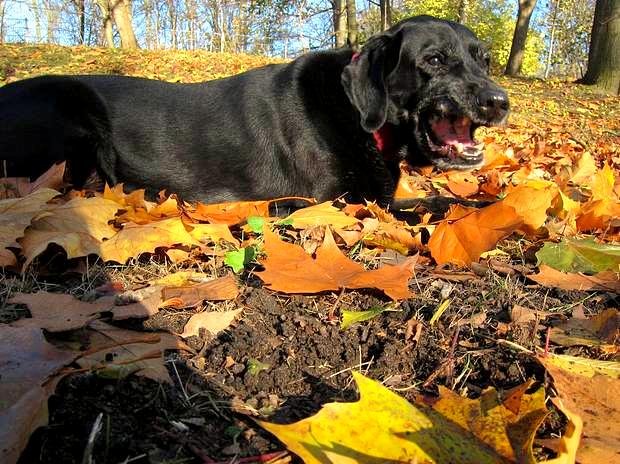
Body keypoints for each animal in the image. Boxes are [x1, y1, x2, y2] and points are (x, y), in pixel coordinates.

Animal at [0, 14, 508, 207]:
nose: (500, 101)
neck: (357, 116)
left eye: (483, 59)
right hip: (73, 105)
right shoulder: (337, 200)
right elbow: (435, 203)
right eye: (434, 60)